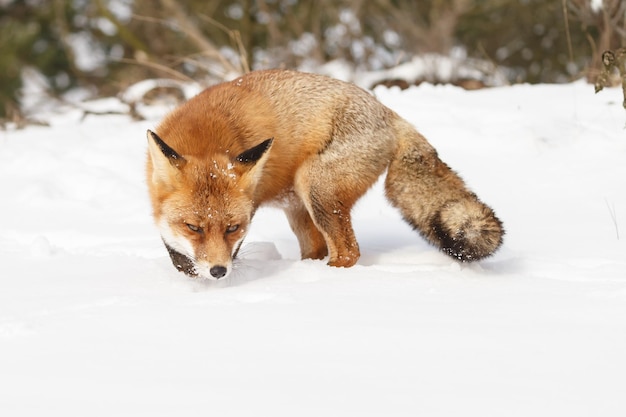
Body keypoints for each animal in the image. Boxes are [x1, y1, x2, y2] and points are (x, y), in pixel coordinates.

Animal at [146, 69, 502, 280]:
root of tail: (392, 116)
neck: (205, 137)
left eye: (233, 228)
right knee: (318, 250)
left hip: (315, 188)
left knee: (348, 252)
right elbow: (174, 248)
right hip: (299, 208)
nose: (219, 271)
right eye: (193, 227)